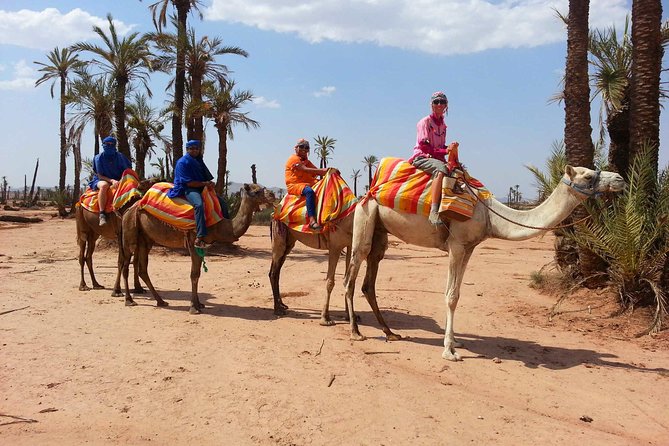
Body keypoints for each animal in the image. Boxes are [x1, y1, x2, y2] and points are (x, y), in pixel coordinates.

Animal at [121, 183, 276, 314]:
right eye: (256, 191)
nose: (272, 194)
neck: (218, 225)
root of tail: (130, 209)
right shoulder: (193, 242)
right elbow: (194, 275)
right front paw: (193, 308)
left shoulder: (202, 246)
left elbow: (198, 274)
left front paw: (199, 304)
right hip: (129, 233)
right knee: (125, 265)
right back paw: (129, 300)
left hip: (145, 239)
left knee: (142, 270)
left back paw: (161, 301)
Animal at [343, 165, 626, 361]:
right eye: (587, 176)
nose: (620, 179)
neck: (491, 216)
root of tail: (367, 192)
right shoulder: (456, 245)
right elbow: (450, 296)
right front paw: (449, 351)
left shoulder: (469, 248)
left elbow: (457, 293)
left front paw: (455, 342)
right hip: (365, 219)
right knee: (350, 277)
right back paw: (356, 331)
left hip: (380, 231)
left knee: (369, 281)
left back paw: (390, 332)